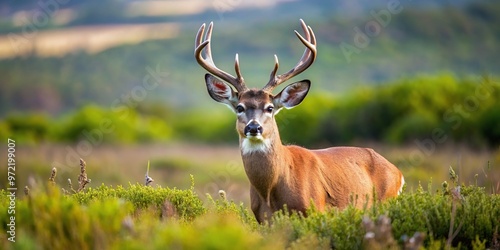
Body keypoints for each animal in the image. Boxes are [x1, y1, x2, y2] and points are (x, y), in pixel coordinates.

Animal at [193, 19, 404, 223]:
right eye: (239, 107)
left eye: (270, 108)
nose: (254, 127)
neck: (270, 191)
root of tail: (398, 172)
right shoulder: (264, 220)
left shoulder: (314, 209)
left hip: (386, 199)